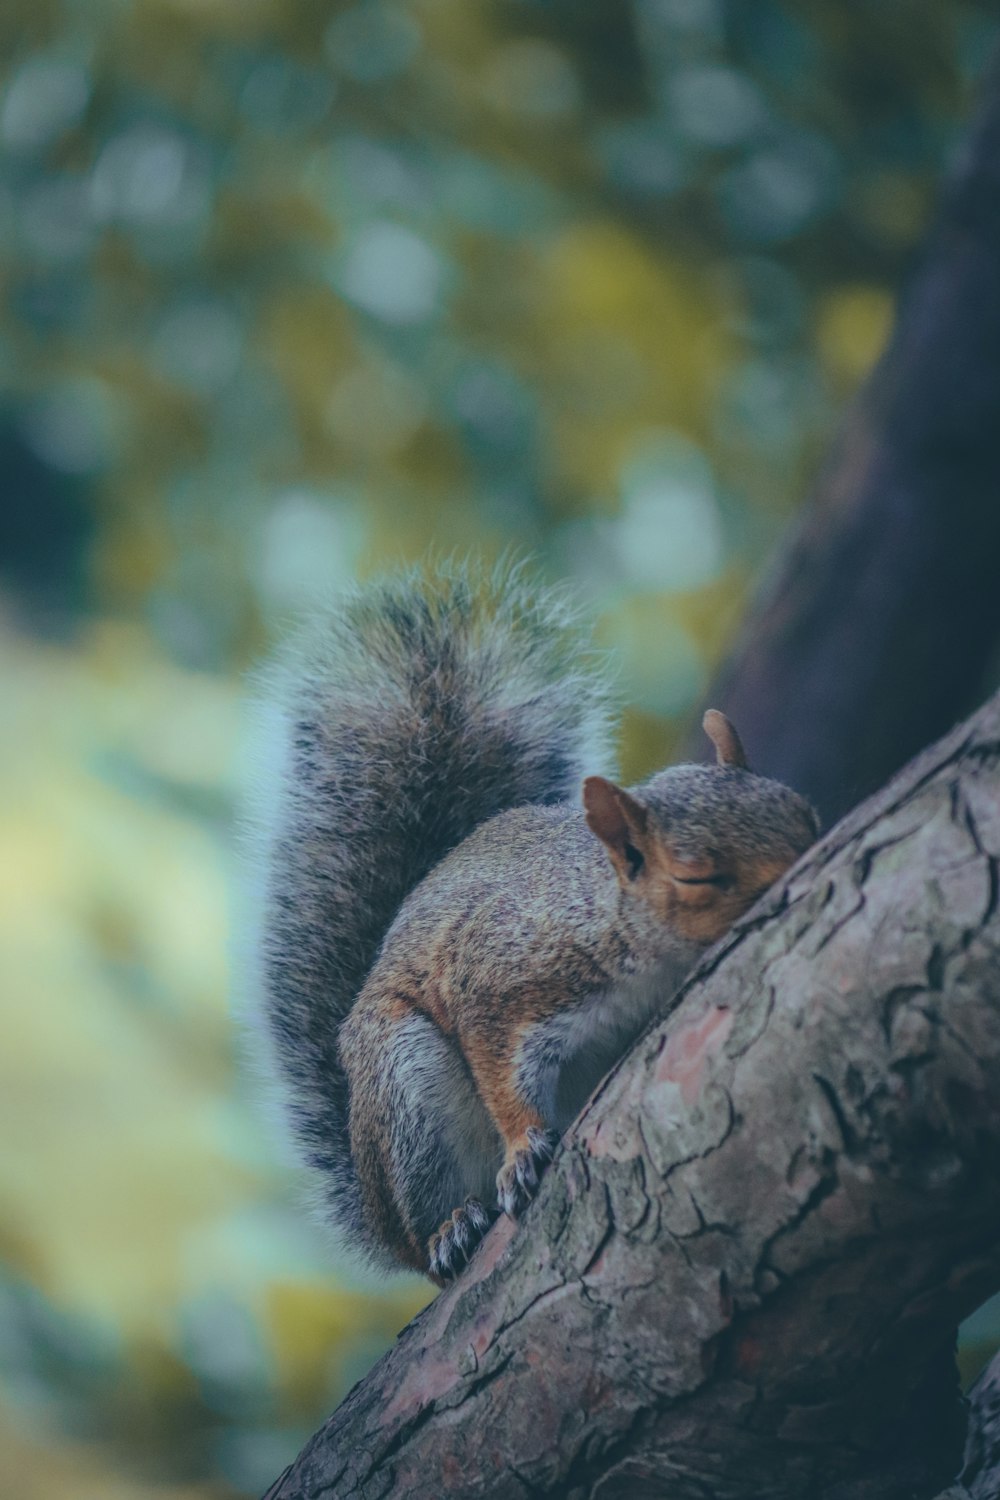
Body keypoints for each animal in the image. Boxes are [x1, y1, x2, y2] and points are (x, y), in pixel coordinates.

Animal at [250, 558, 821, 1284]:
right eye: (694, 876)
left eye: (805, 815)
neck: (609, 917)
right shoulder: (505, 982)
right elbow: (501, 1071)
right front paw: (523, 1150)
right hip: (403, 1086)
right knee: (423, 1228)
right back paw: (449, 1229)